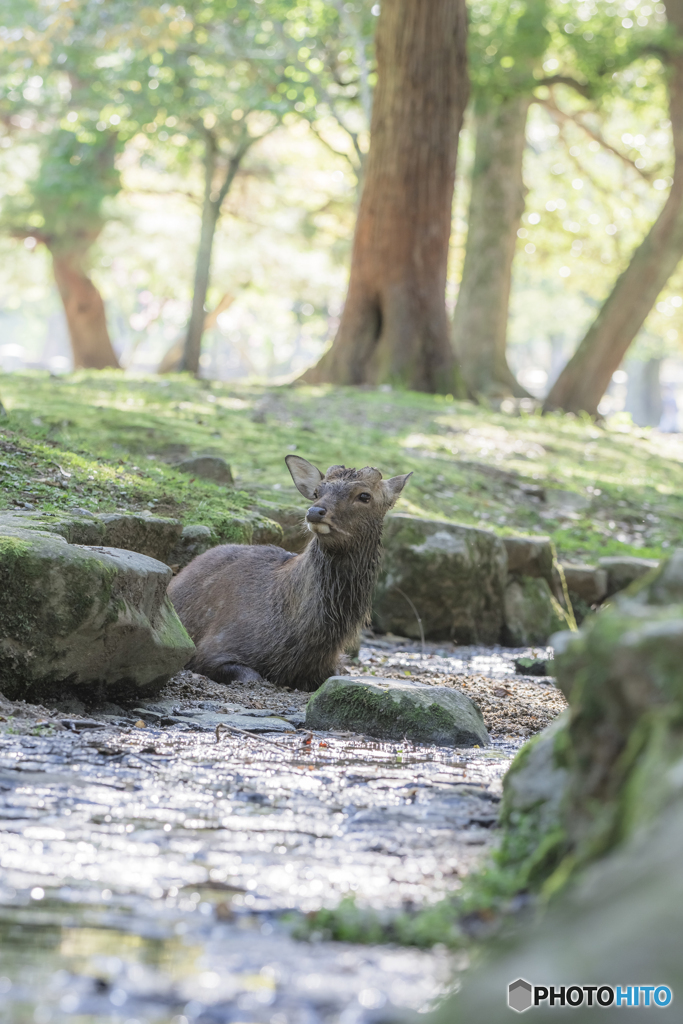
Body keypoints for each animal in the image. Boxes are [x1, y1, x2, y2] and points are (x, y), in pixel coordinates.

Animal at [167, 460, 411, 692]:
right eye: (317, 491)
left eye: (364, 495)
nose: (315, 512)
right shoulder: (212, 648)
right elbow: (251, 677)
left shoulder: (332, 666)